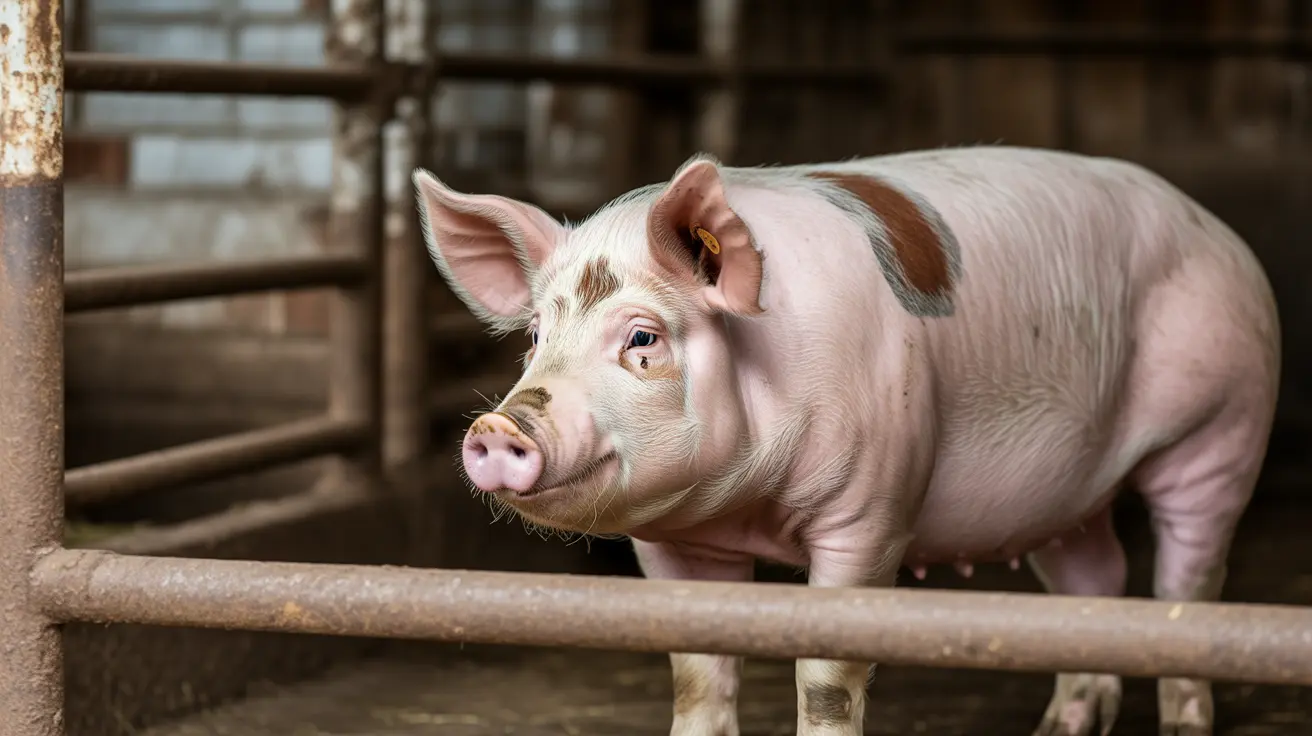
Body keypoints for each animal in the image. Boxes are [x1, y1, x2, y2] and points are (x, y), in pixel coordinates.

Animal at [412, 145, 1280, 736]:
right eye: (534, 335)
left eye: (643, 338)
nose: (499, 425)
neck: (746, 510)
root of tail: (1222, 233)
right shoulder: (671, 545)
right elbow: (696, 673)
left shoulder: (873, 510)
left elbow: (826, 674)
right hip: (1065, 493)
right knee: (1093, 582)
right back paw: (1057, 727)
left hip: (1223, 427)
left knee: (1186, 587)